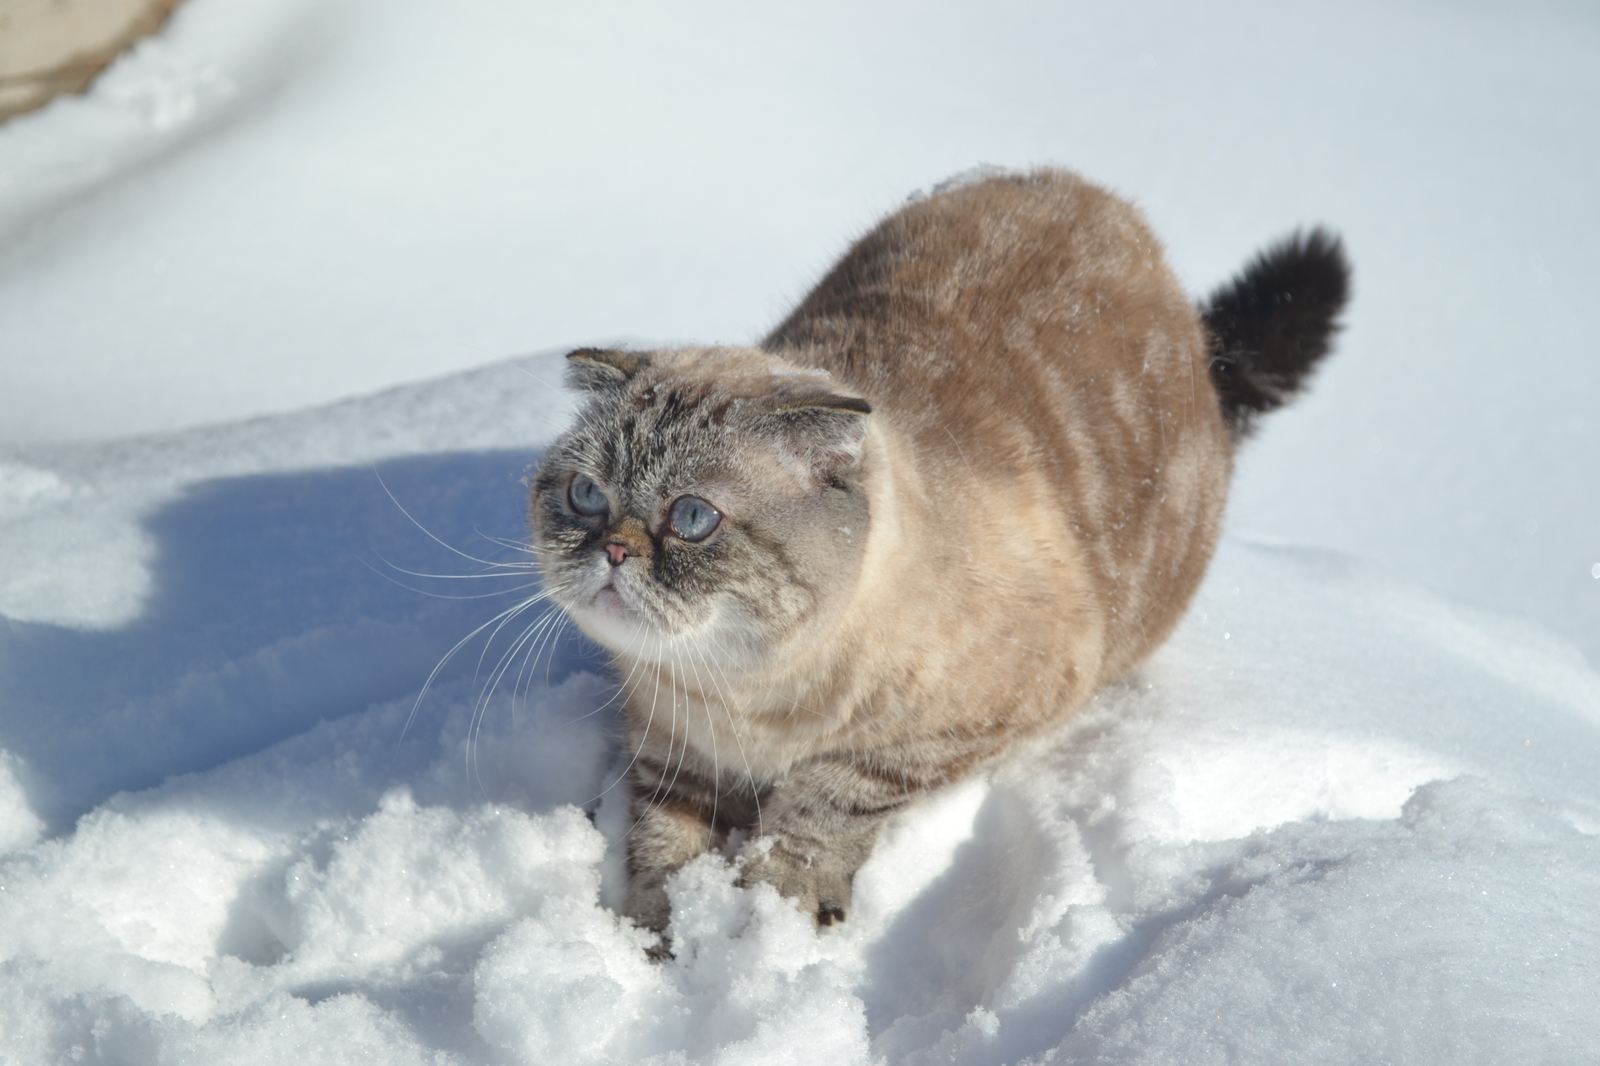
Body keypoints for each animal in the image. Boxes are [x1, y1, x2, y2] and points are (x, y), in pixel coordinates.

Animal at [528, 164, 1350, 928]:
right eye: (587, 496)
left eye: (693, 518)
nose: (612, 551)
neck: (741, 697)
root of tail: (1098, 198)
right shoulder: (670, 751)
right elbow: (658, 850)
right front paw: (656, 940)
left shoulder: (944, 736)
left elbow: (823, 810)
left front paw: (775, 906)